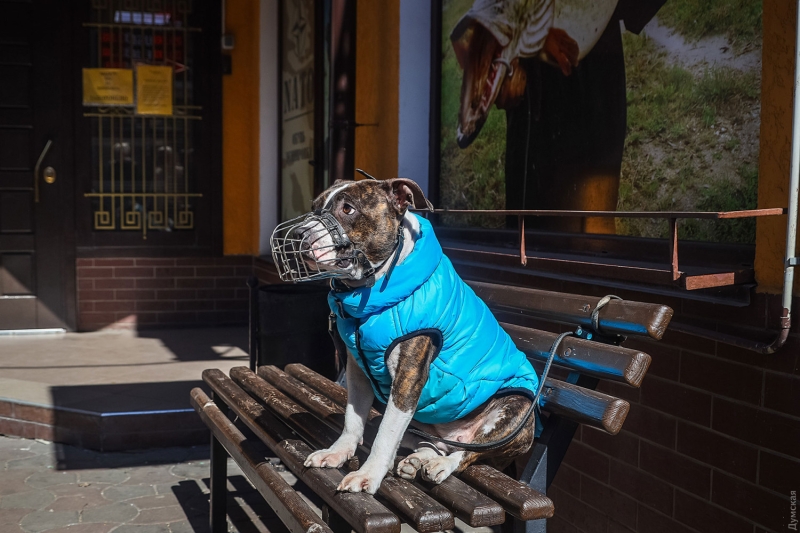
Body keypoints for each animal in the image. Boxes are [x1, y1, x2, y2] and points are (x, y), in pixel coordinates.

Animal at [272, 178, 540, 494]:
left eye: (348, 208)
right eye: (315, 207)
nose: (298, 234)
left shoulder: (408, 378)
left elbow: (385, 434)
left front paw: (368, 474)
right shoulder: (356, 370)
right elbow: (352, 419)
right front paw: (337, 452)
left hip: (515, 412)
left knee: (467, 454)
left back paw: (441, 465)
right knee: (435, 444)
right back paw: (418, 460)